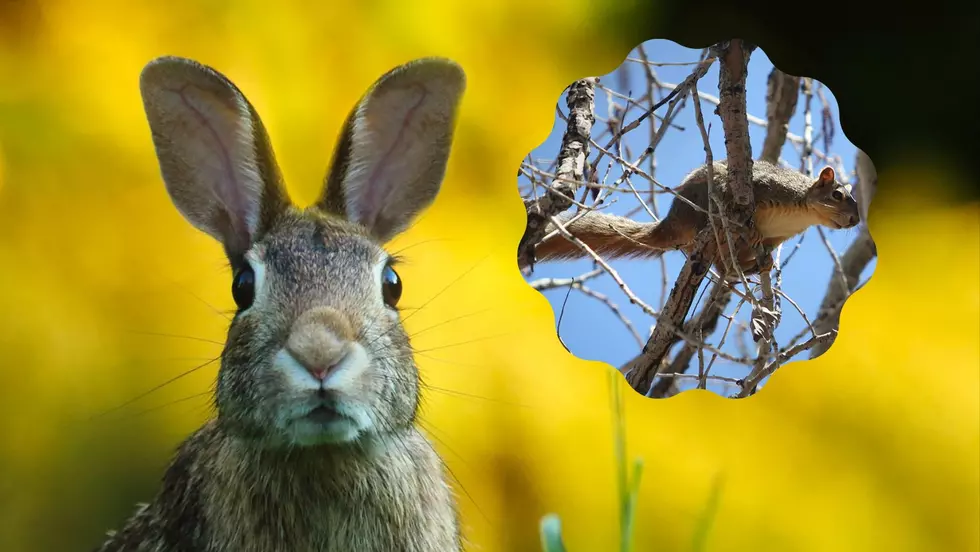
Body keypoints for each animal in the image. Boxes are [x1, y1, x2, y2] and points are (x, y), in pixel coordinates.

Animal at [530, 160, 861, 274]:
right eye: (837, 195)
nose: (856, 221)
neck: (804, 213)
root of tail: (671, 224)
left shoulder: (780, 235)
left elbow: (766, 245)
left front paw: (765, 257)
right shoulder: (768, 186)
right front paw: (752, 230)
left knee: (726, 268)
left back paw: (755, 266)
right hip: (705, 209)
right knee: (721, 259)